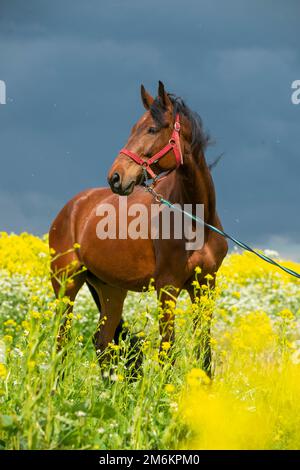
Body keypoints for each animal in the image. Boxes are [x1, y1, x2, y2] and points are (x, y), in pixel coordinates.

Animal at [49, 81, 227, 374]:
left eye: (152, 129)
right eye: (133, 128)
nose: (115, 177)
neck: (195, 221)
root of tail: (72, 208)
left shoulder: (206, 286)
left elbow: (204, 352)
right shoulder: (167, 288)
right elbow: (168, 353)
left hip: (111, 291)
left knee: (103, 342)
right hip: (66, 285)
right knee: (61, 341)